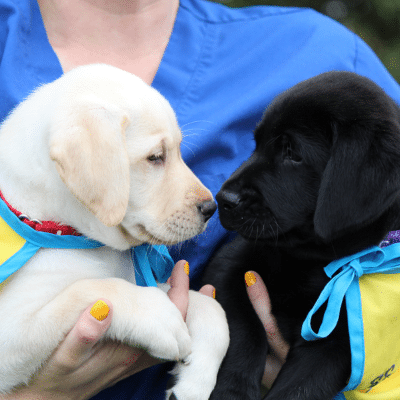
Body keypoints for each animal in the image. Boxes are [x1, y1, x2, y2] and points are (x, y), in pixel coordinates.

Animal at [0, 64, 228, 398]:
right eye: (155, 157)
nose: (211, 208)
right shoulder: (11, 329)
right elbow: (92, 287)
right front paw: (157, 316)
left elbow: (211, 308)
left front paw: (194, 382)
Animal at [203, 72, 400, 400]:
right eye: (257, 144)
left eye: (293, 153)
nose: (223, 199)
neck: (310, 264)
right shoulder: (229, 267)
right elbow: (243, 331)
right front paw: (233, 391)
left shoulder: (339, 344)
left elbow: (298, 389)